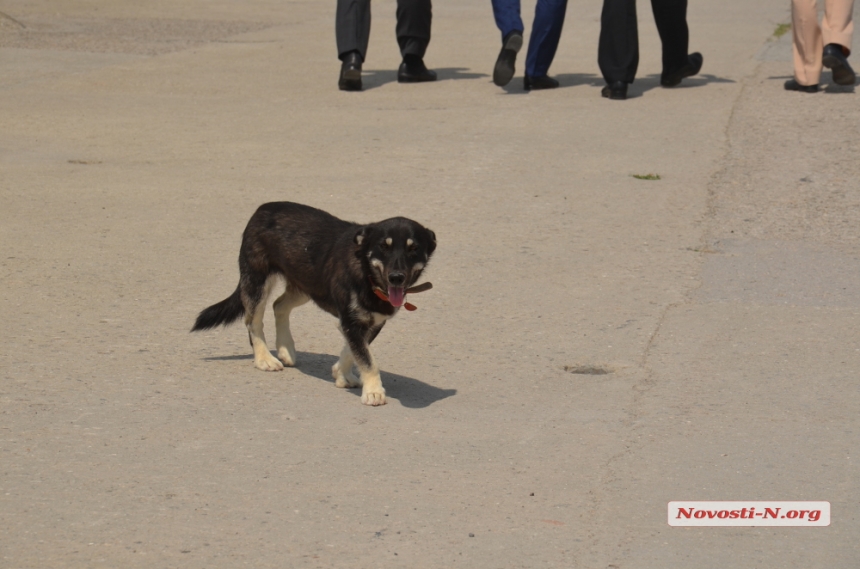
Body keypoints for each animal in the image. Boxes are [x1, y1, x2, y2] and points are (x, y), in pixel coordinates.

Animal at [194, 202, 436, 406]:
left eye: (413, 249)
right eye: (383, 247)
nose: (396, 277)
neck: (367, 273)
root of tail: (262, 209)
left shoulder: (370, 322)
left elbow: (355, 350)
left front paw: (342, 374)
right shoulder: (352, 321)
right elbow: (368, 359)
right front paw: (373, 391)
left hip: (306, 285)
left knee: (279, 305)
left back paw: (286, 349)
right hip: (257, 281)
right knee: (253, 322)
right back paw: (264, 359)